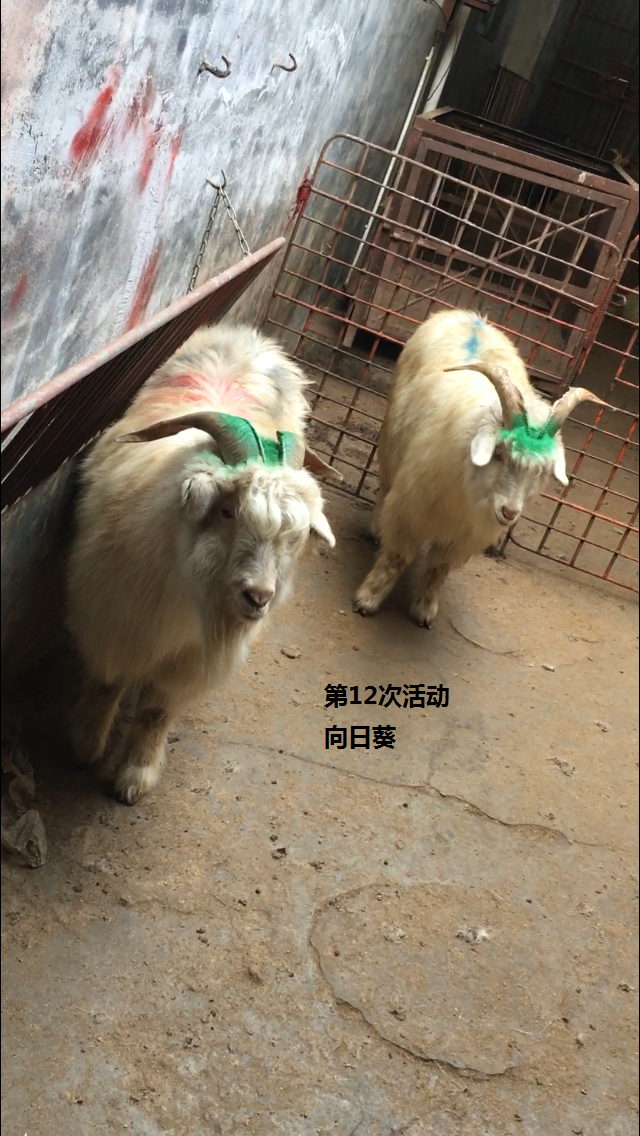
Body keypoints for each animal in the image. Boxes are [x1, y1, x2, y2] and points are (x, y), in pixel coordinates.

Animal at [66, 323, 337, 805]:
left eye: (294, 535)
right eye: (228, 511)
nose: (258, 597)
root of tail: (249, 336)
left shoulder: (189, 656)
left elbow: (156, 710)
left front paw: (136, 776)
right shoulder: (111, 617)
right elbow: (107, 682)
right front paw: (85, 745)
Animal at [354, 307, 608, 628]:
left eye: (540, 471)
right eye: (498, 453)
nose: (509, 512)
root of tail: (470, 315)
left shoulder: (464, 536)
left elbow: (439, 569)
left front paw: (424, 610)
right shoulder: (409, 510)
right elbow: (396, 558)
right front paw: (367, 599)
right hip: (390, 444)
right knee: (385, 484)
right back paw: (375, 529)